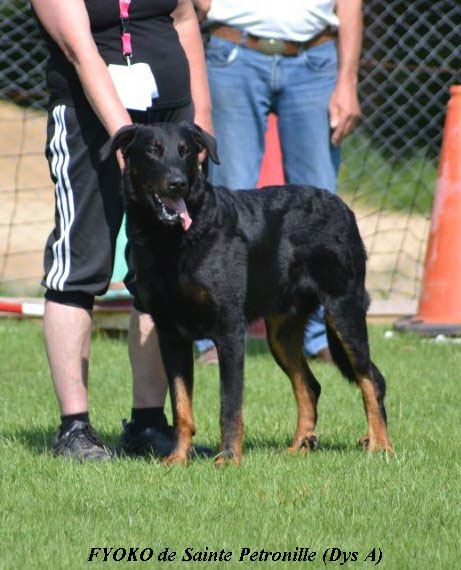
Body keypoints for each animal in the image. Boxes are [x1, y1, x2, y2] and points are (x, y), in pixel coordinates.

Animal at [103, 122, 394, 465]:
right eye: (153, 150)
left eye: (186, 151)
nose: (178, 184)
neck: (172, 240)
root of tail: (342, 206)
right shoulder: (170, 334)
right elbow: (181, 405)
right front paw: (178, 458)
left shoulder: (229, 329)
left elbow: (229, 405)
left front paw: (228, 459)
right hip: (281, 333)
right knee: (310, 385)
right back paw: (299, 446)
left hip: (343, 309)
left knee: (370, 378)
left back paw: (380, 445)